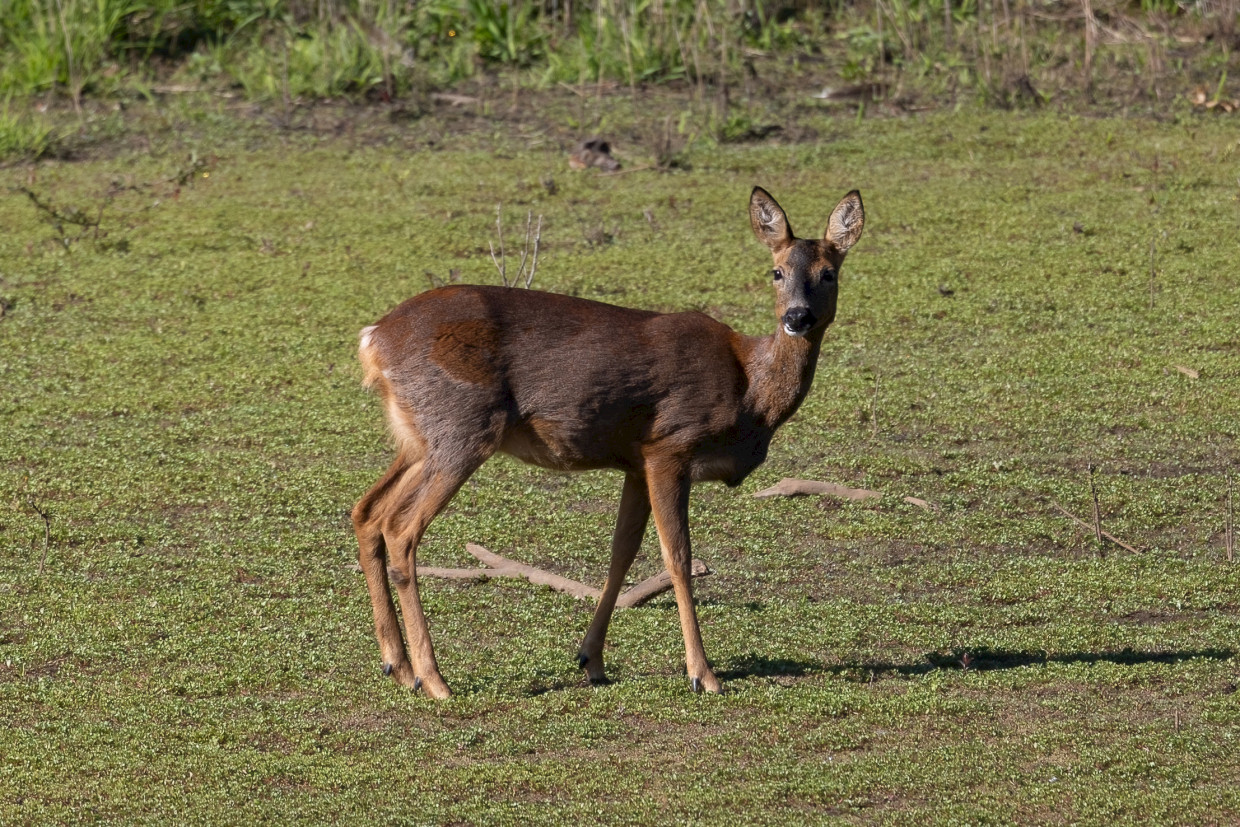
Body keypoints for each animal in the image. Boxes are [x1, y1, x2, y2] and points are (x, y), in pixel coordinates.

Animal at [352, 186, 865, 698]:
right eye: (775, 271)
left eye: (829, 273)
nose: (797, 317)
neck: (749, 392)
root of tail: (372, 339)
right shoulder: (669, 445)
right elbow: (678, 557)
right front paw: (703, 674)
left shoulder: (636, 462)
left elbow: (621, 553)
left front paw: (591, 659)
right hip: (462, 426)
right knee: (400, 528)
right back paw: (433, 678)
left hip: (419, 438)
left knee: (367, 511)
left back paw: (398, 666)